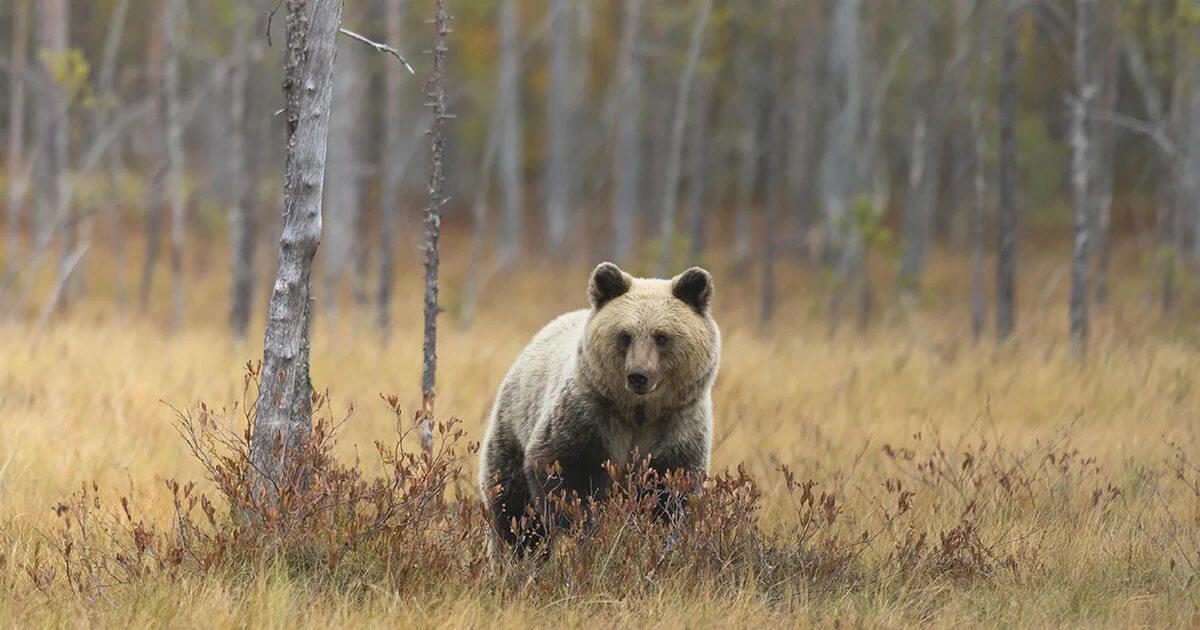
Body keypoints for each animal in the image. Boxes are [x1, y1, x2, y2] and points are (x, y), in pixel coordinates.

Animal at [477, 260, 720, 549]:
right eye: (625, 335)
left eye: (661, 336)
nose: (638, 375)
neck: (639, 412)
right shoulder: (588, 417)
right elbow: (560, 471)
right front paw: (583, 530)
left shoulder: (677, 427)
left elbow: (672, 491)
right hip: (514, 425)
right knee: (512, 508)